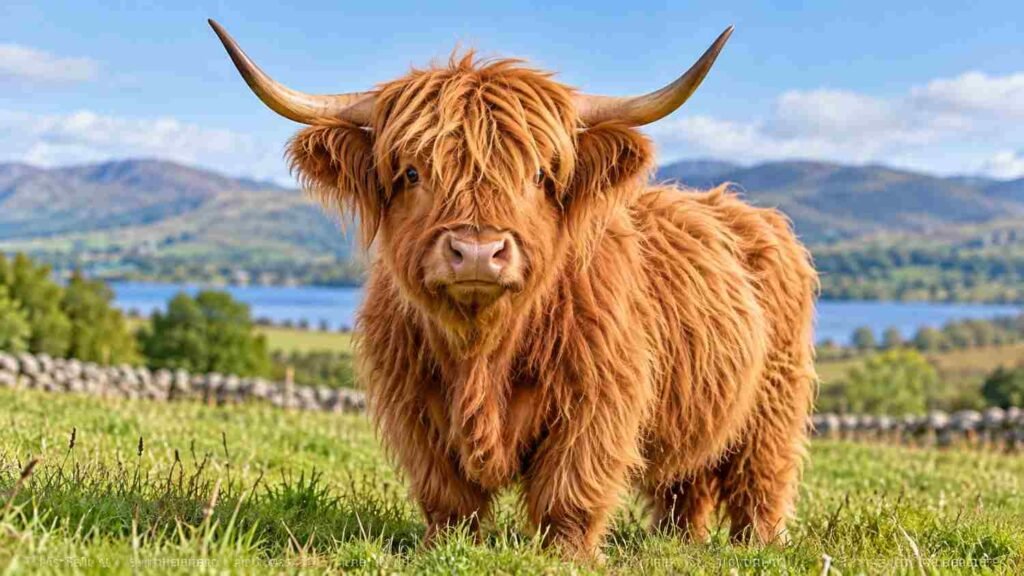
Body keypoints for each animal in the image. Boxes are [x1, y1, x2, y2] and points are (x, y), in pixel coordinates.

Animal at [211, 20, 818, 558]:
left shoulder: (597, 399)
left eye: (539, 174)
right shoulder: (415, 405)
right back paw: (678, 541)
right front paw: (444, 545)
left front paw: (568, 554)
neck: (483, 349)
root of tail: (740, 207)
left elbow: (569, 489)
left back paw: (757, 545)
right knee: (685, 482)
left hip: (774, 403)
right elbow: (447, 494)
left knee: (760, 481)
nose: (478, 251)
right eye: (412, 173)